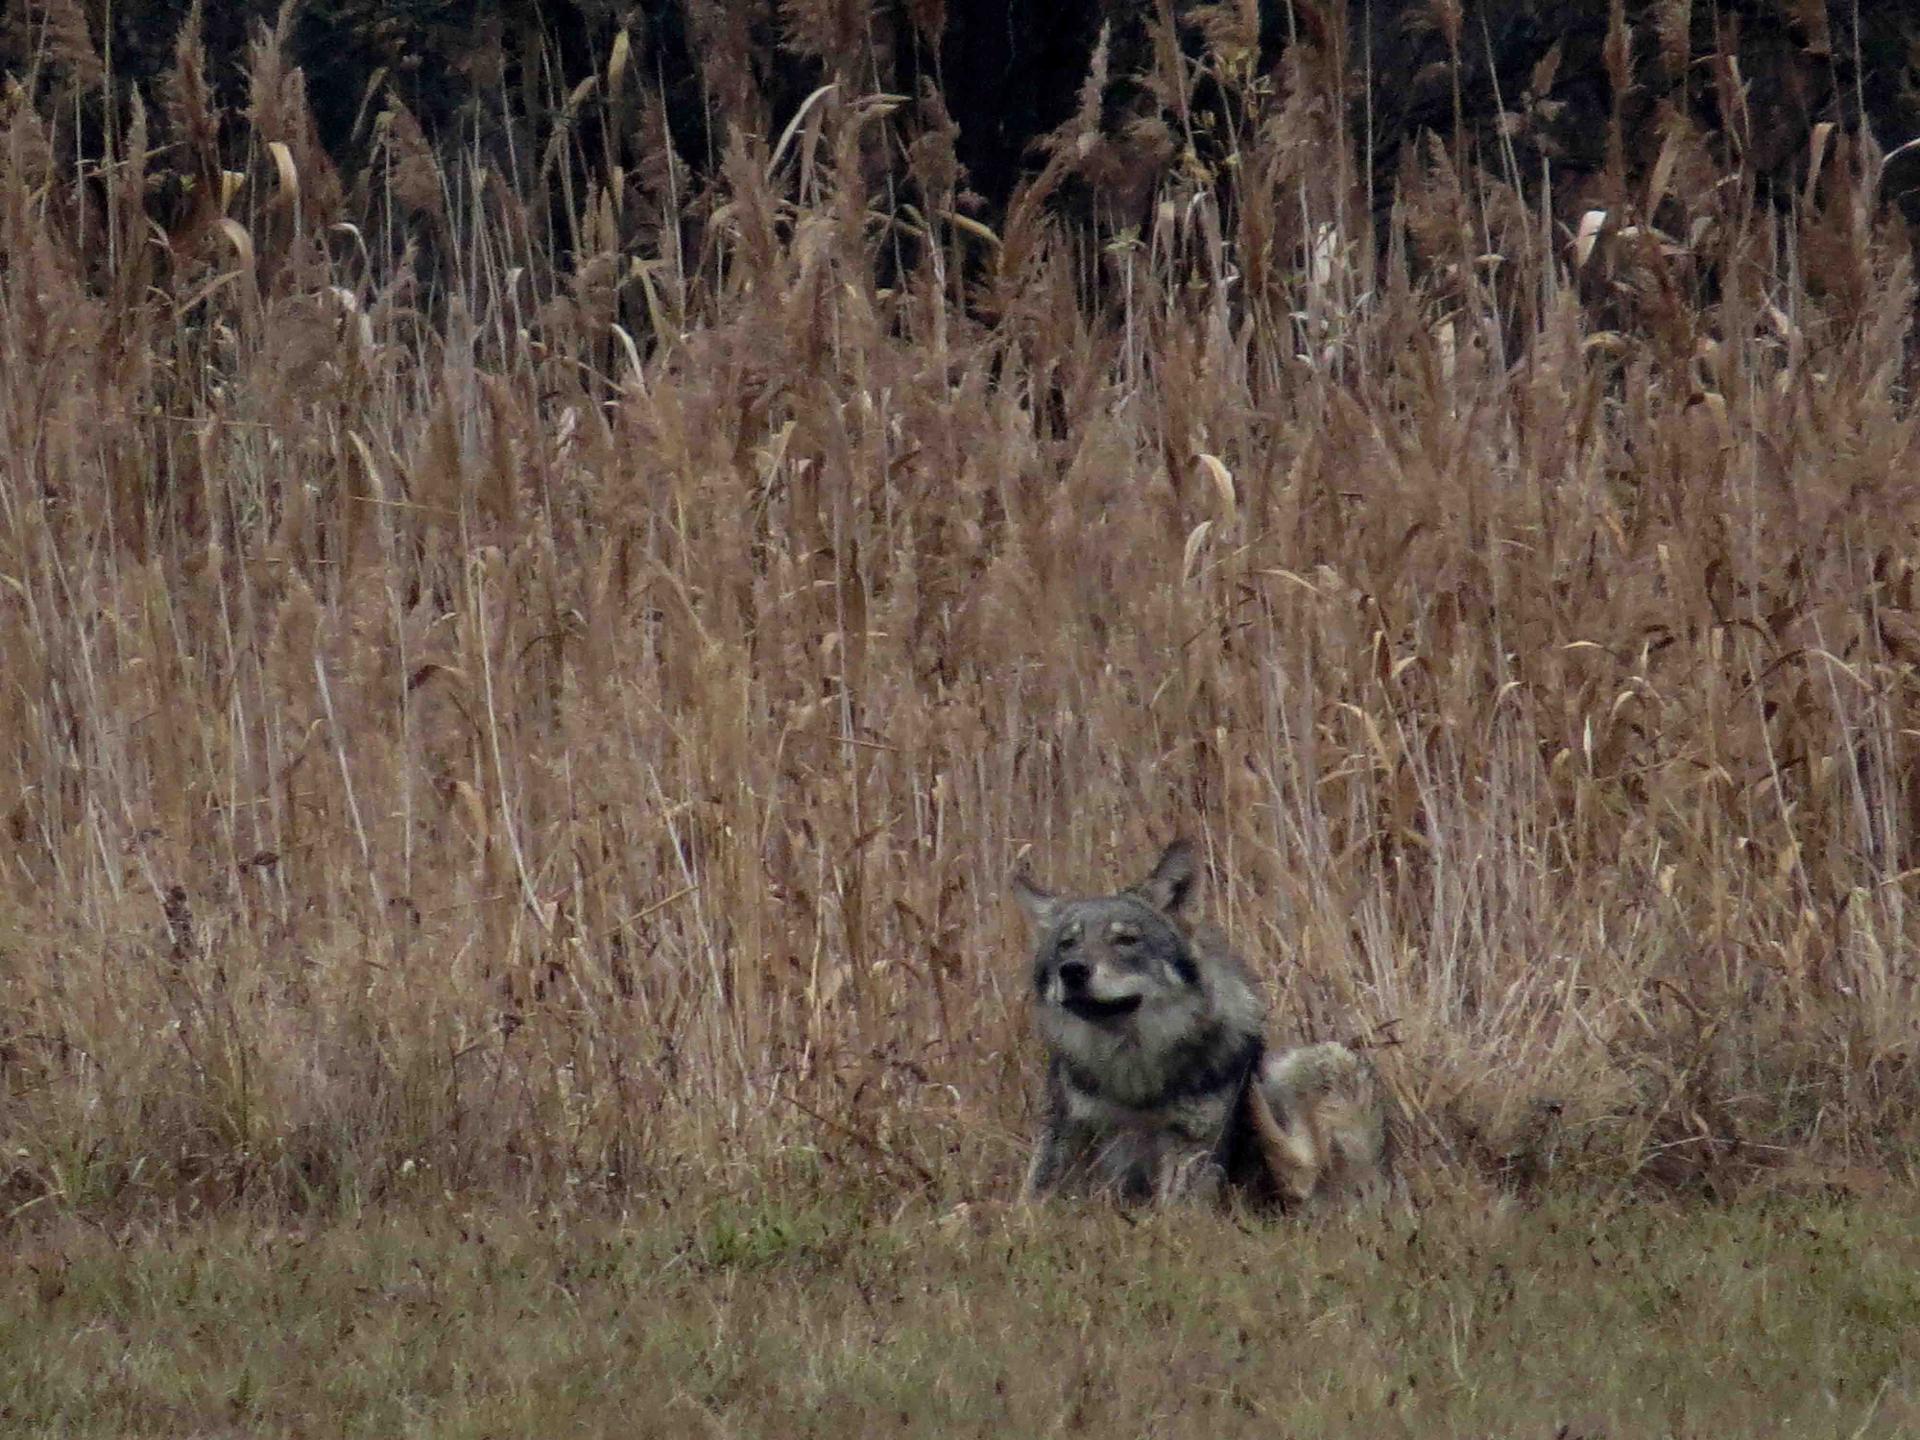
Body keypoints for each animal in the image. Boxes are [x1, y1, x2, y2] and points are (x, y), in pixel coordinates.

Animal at [1013, 840, 1390, 1213]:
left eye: (1126, 940)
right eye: (1067, 944)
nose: (1073, 970)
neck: (1131, 1079)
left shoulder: (1190, 1153)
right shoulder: (1062, 1140)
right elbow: (1030, 1206)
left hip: (1320, 1063)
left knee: (1302, 1172)